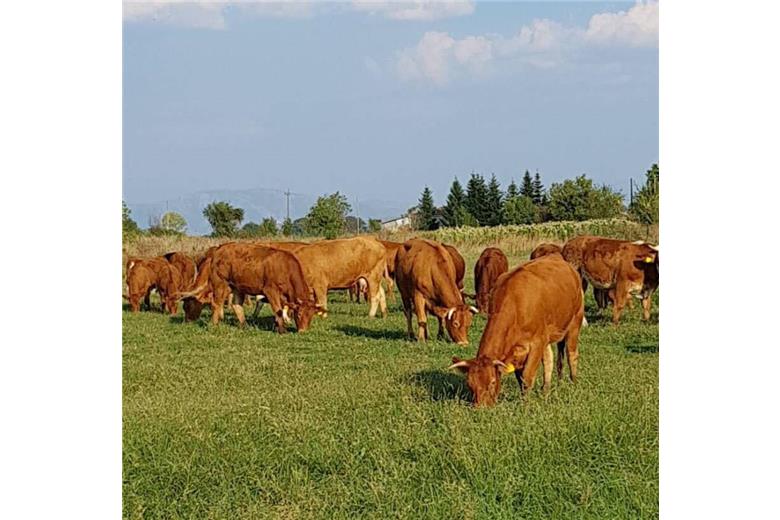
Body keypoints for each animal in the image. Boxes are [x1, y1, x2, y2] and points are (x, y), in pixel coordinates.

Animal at [178, 243, 322, 334]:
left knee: (236, 305)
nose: (303, 331)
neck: (285, 267)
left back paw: (245, 326)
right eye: (299, 313)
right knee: (217, 303)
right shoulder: (270, 291)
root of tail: (219, 249)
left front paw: (278, 326)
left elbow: (280, 310)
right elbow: (278, 310)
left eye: (311, 315)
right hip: (220, 284)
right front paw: (282, 330)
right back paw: (214, 325)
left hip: (237, 287)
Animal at [448, 254, 580, 408]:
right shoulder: (519, 351)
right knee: (549, 360)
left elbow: (527, 376)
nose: (481, 408)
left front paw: (525, 404)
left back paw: (573, 383)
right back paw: (545, 390)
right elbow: (520, 377)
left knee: (572, 355)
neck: (516, 304)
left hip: (575, 321)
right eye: (470, 384)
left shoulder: (537, 342)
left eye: (492, 382)